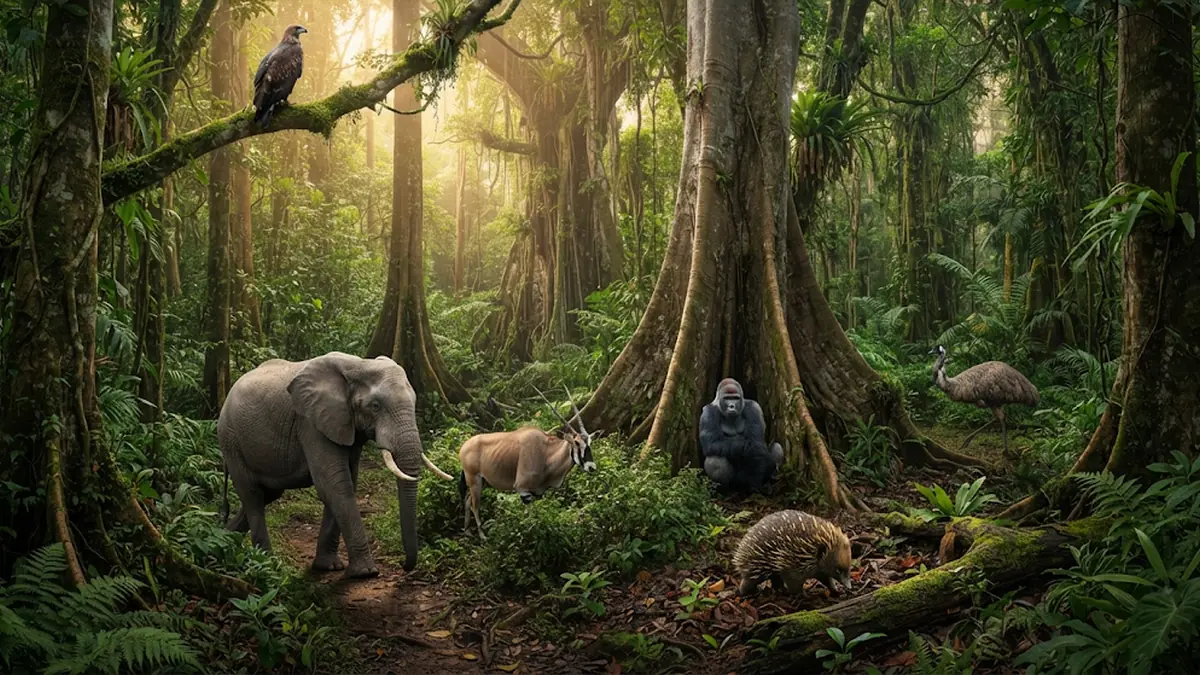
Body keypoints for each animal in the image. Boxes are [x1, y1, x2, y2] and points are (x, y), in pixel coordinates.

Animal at [218, 352, 454, 577]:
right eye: (375, 406)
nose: (404, 566)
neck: (359, 364)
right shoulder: (310, 423)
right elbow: (335, 486)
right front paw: (365, 573)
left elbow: (346, 480)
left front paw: (329, 567)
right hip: (231, 441)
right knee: (253, 495)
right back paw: (267, 563)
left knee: (268, 494)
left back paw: (223, 542)